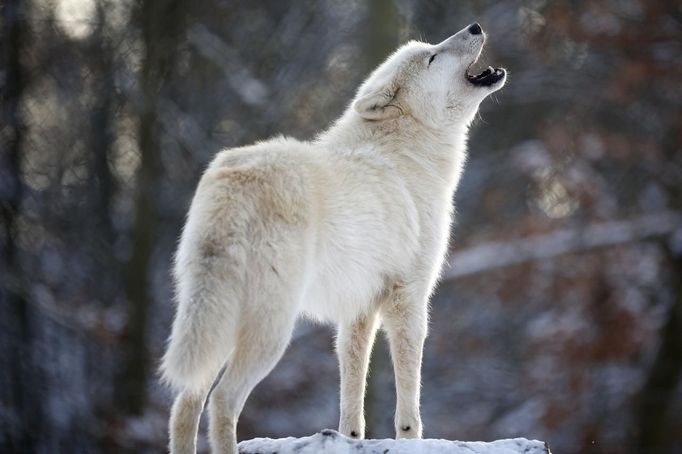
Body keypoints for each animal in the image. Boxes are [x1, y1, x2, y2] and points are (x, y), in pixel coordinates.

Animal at [162, 22, 504, 454]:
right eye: (432, 57)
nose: (475, 26)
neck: (407, 152)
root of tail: (235, 178)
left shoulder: (358, 308)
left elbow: (352, 385)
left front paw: (349, 438)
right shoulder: (408, 298)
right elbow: (409, 396)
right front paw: (410, 438)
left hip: (217, 322)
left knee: (184, 403)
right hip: (271, 330)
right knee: (222, 400)